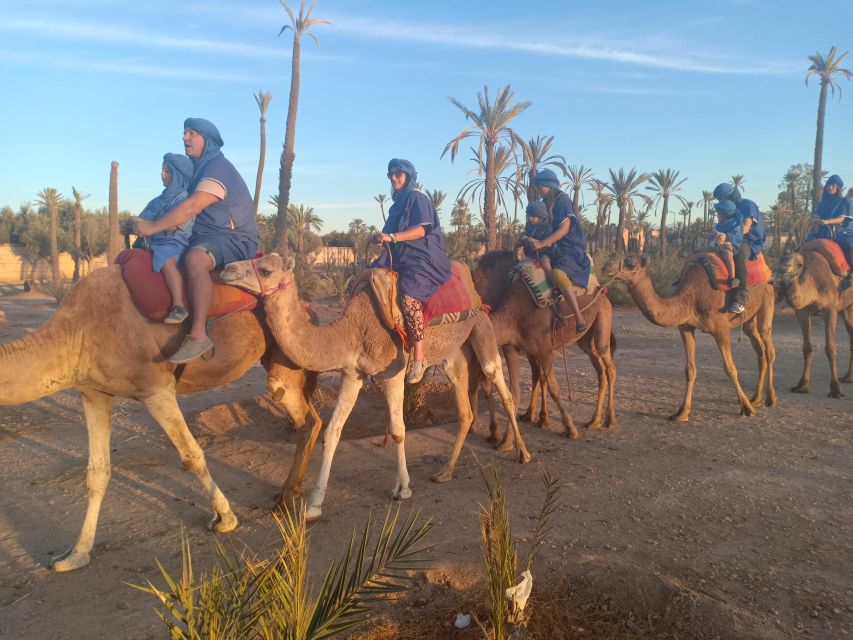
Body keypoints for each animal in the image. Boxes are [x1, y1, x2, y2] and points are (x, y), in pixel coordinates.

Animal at [0, 262, 320, 572]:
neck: (76, 330)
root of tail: (305, 306)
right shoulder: (93, 393)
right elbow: (97, 472)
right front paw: (76, 555)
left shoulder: (155, 390)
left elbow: (191, 456)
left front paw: (226, 518)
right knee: (311, 420)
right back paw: (287, 495)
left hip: (286, 360)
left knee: (305, 419)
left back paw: (289, 499)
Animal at [220, 250, 528, 520]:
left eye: (265, 270)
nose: (227, 269)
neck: (353, 329)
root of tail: (475, 292)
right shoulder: (352, 374)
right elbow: (332, 431)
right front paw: (314, 505)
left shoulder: (393, 374)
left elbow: (398, 430)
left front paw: (402, 489)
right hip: (453, 353)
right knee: (463, 405)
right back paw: (445, 472)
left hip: (482, 326)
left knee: (498, 382)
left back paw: (522, 453)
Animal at [472, 251, 620, 440]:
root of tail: (602, 291)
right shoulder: (518, 347)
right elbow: (527, 381)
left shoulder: (544, 349)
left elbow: (551, 385)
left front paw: (565, 427)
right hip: (586, 340)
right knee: (599, 369)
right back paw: (594, 420)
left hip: (603, 318)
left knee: (609, 366)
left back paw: (610, 419)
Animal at [600, 252, 780, 422]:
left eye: (631, 264)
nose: (606, 266)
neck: (691, 297)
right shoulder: (686, 327)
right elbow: (690, 370)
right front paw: (681, 413)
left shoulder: (721, 328)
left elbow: (730, 368)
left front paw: (746, 408)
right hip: (749, 320)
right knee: (760, 351)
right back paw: (756, 398)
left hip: (767, 300)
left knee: (769, 346)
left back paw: (770, 399)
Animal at [780, 249, 852, 396]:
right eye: (781, 259)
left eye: (799, 264)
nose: (784, 268)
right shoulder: (802, 312)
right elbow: (807, 348)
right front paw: (802, 386)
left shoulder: (831, 309)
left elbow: (830, 348)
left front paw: (836, 389)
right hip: (845, 308)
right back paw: (848, 377)